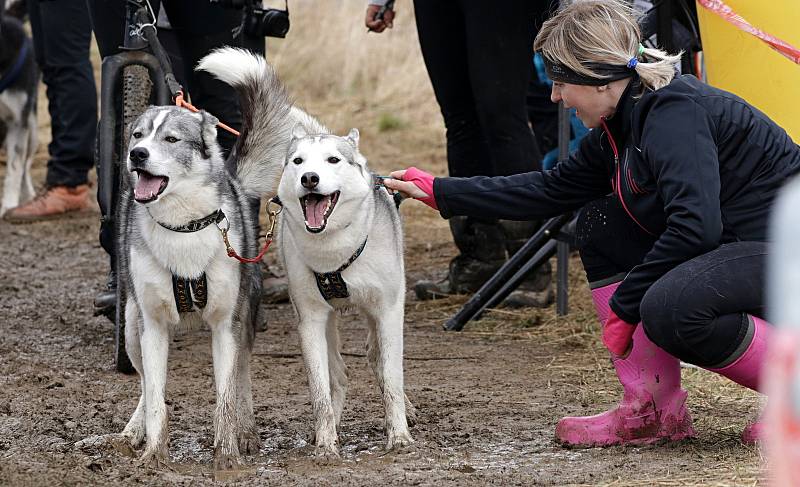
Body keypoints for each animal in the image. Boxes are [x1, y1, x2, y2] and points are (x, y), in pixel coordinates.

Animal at [198, 49, 416, 458]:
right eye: (298, 162)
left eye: (333, 160)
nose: (309, 179)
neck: (334, 247)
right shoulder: (311, 319)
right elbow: (320, 391)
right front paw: (326, 445)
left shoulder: (388, 310)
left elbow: (392, 379)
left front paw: (399, 437)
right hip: (325, 322)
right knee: (339, 376)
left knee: (378, 362)